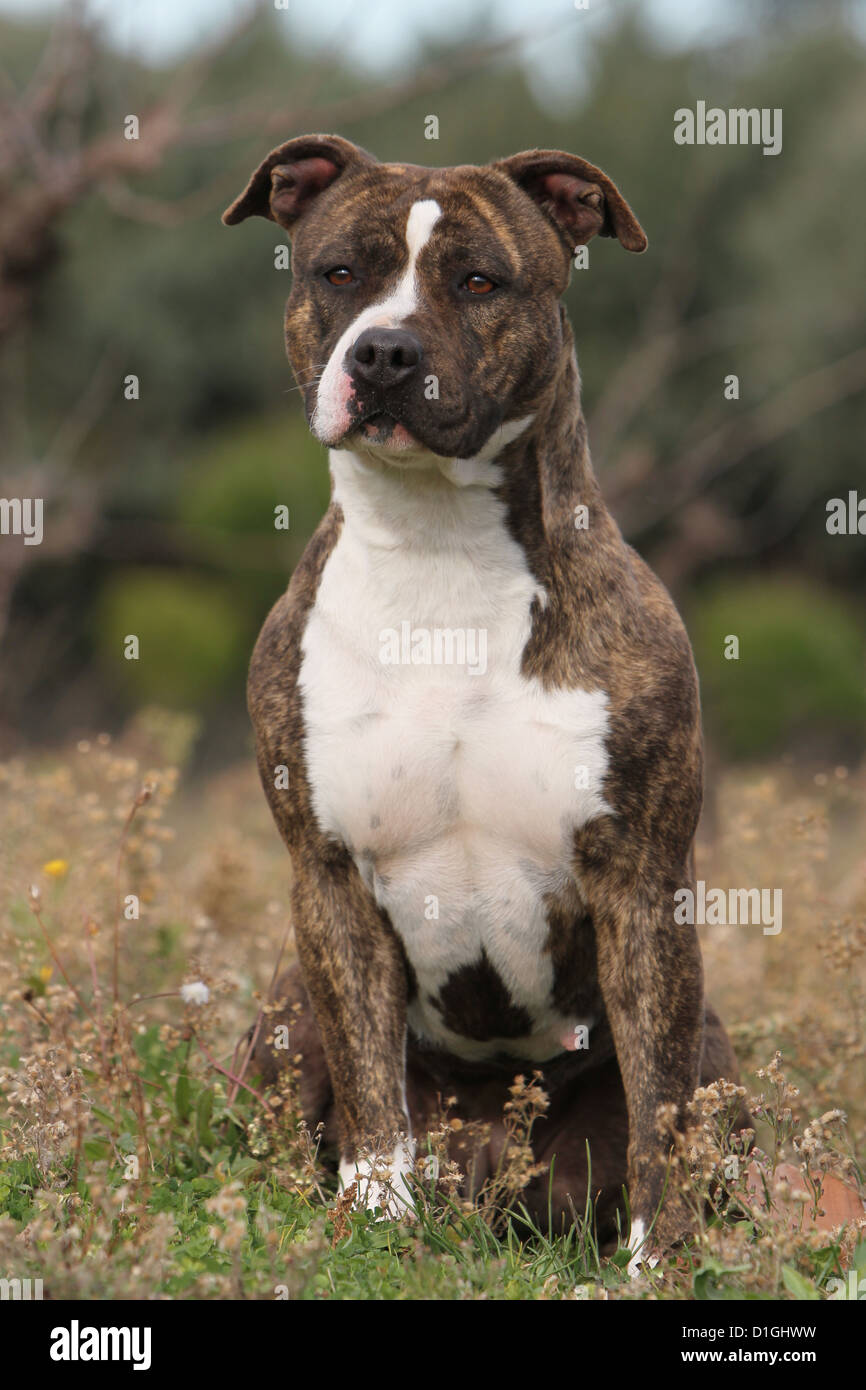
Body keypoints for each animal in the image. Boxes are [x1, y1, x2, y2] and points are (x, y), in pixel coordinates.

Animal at [225, 135, 750, 1267]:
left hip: (718, 1063)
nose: (383, 354)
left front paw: (660, 1262)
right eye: (340, 272)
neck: (436, 548)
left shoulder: (640, 881)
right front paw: (374, 1222)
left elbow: (657, 1105)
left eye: (477, 282)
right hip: (280, 1023)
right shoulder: (326, 874)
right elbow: (372, 1089)